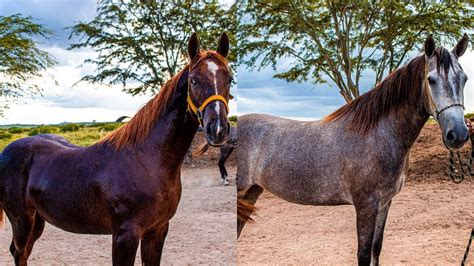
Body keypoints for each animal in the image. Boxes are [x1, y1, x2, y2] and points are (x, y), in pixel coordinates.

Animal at [0, 32, 231, 264]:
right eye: (194, 80)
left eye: (229, 78)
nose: (218, 129)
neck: (146, 160)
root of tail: (6, 152)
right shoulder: (125, 235)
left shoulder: (157, 230)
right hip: (22, 220)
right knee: (19, 251)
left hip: (38, 220)